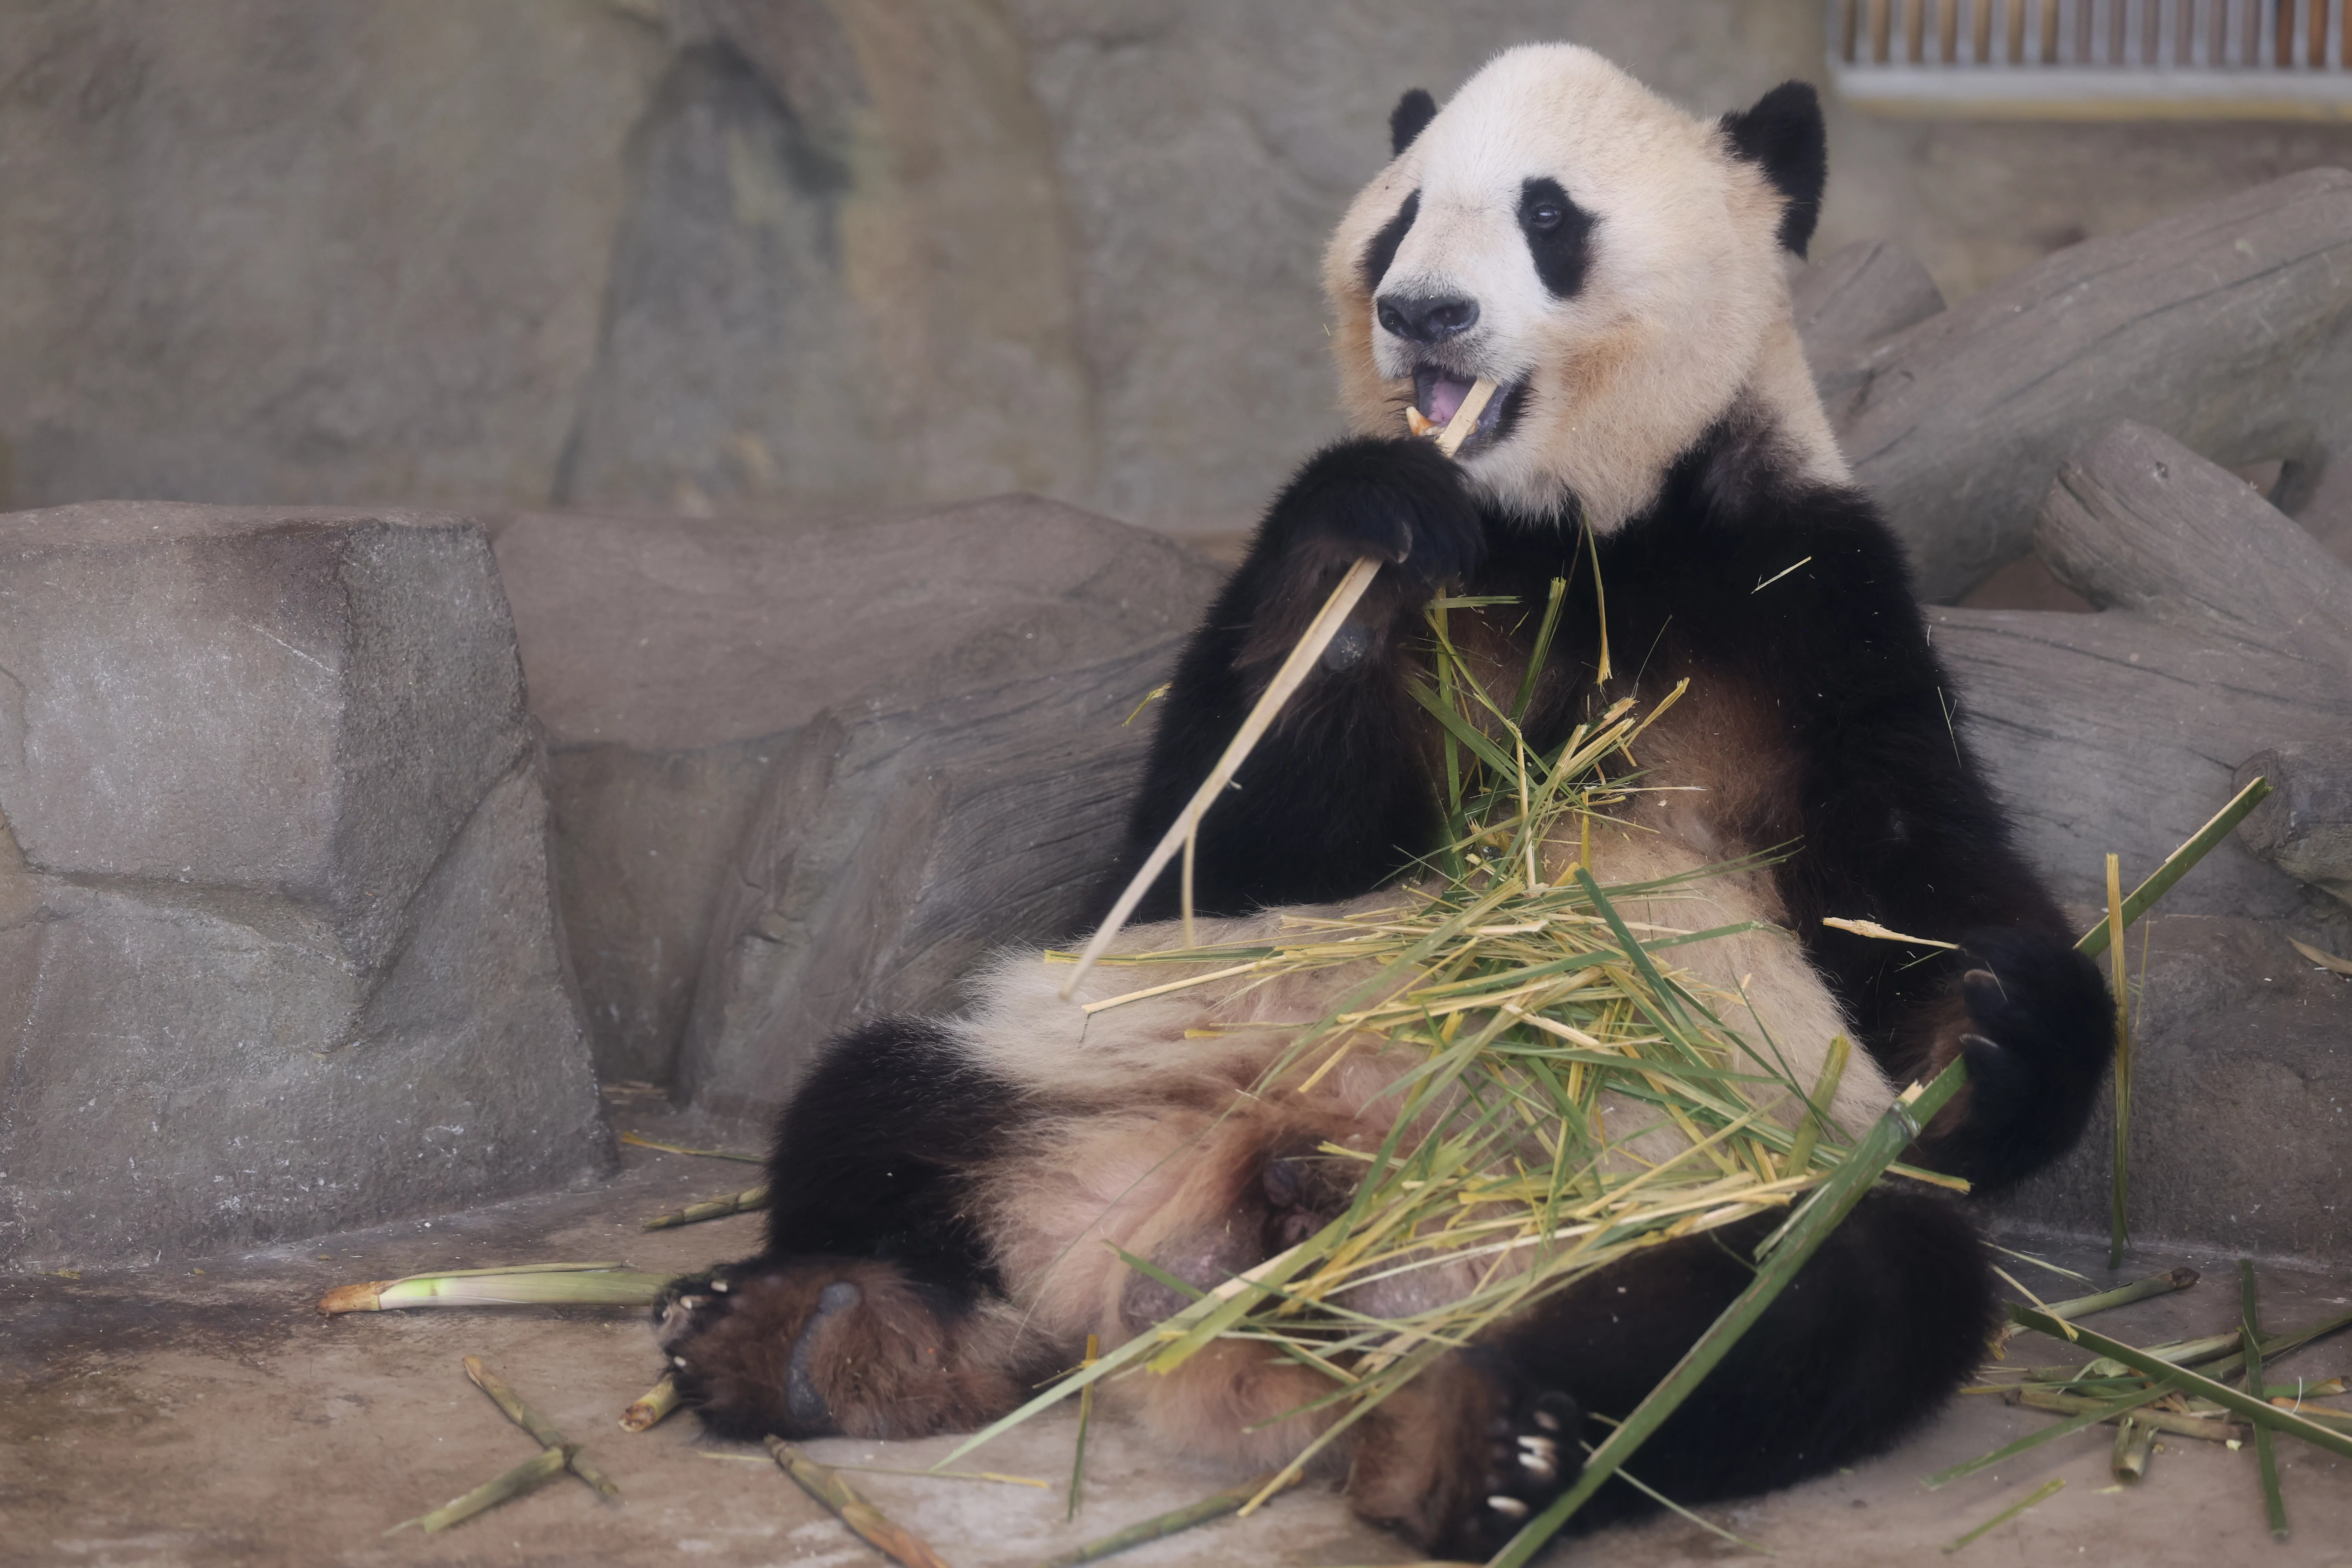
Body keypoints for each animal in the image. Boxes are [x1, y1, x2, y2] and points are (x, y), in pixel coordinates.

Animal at [653, 45, 2115, 1559]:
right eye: (1401, 218)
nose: (1422, 314)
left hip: (1712, 1179)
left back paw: (1475, 1438)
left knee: (1821, 1298)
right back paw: (811, 1336)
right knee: (880, 1105)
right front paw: (1364, 539)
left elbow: (1909, 885)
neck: (1577, 524)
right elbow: (1204, 850)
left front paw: (2001, 1017)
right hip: (1090, 1070)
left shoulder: (1814, 597)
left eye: (1548, 216)